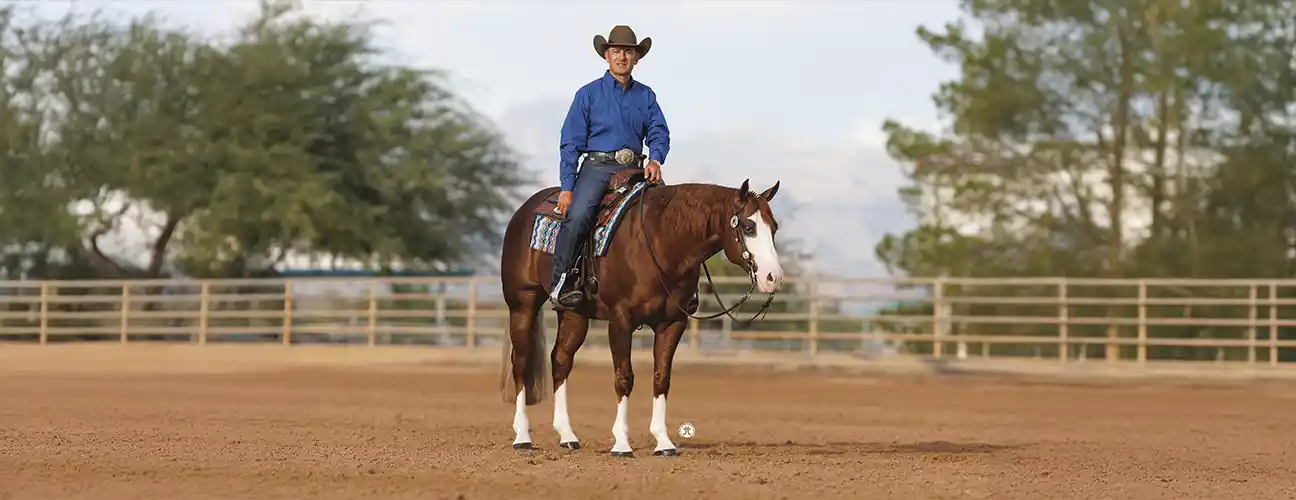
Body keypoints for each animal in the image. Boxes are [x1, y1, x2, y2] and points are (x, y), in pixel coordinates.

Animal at [497, 162, 785, 458]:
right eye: (748, 227)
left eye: (774, 227)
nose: (773, 277)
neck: (661, 240)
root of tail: (524, 210)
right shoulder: (621, 320)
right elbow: (624, 378)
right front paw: (622, 444)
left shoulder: (672, 323)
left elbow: (662, 378)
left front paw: (663, 442)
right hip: (523, 304)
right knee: (521, 362)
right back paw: (522, 437)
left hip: (574, 314)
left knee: (561, 360)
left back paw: (567, 435)